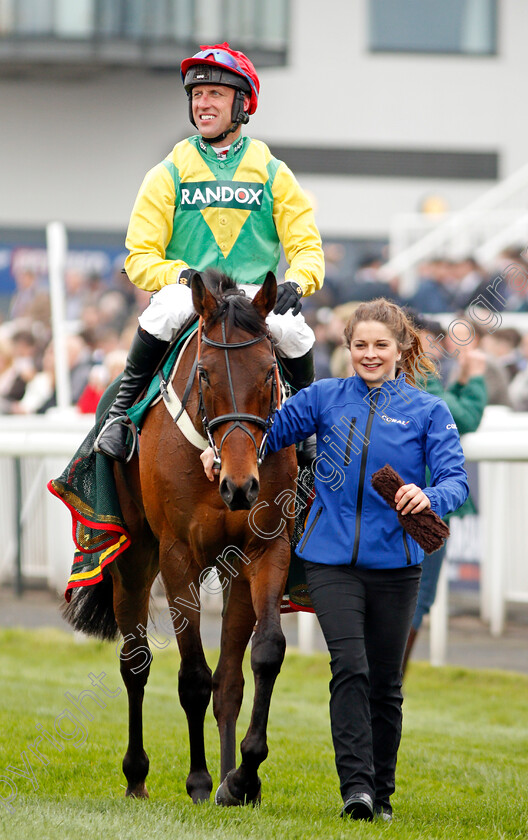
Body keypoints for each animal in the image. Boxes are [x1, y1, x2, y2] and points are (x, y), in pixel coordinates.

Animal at [66, 270, 296, 808]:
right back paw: (136, 775)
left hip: (232, 569)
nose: (240, 486)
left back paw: (232, 776)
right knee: (135, 662)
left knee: (230, 676)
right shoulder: (177, 555)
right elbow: (192, 675)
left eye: (269, 373)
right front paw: (199, 781)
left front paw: (244, 776)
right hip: (134, 558)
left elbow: (265, 653)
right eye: (206, 374)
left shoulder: (267, 547)